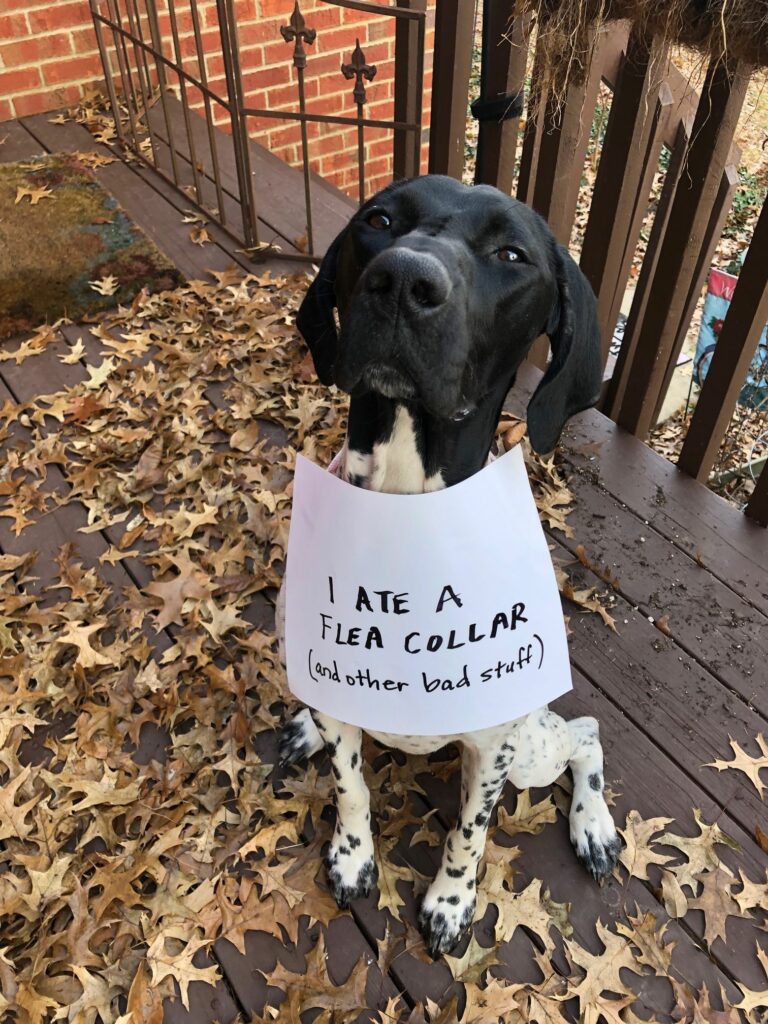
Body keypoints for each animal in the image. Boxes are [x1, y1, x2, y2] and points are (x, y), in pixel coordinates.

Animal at [280, 172, 622, 954]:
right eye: (379, 219)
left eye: (511, 253)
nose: (404, 280)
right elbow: (351, 786)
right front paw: (353, 858)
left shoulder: (494, 748)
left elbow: (469, 831)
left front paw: (450, 901)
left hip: (532, 743)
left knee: (586, 736)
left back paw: (593, 827)